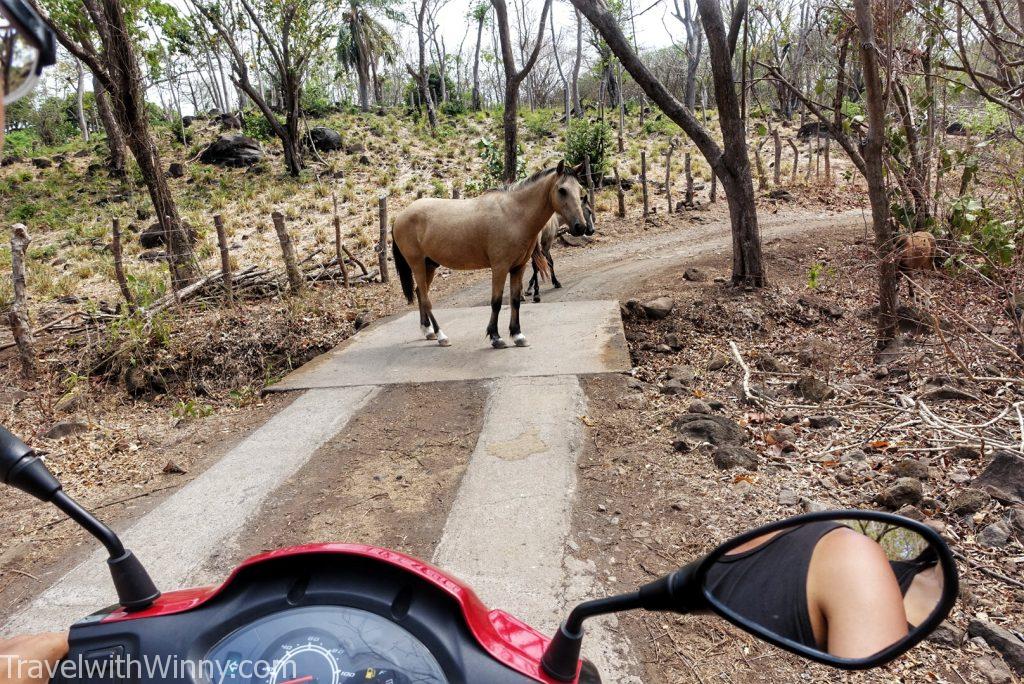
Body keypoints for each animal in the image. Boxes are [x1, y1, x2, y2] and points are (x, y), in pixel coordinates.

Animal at [389, 161, 589, 348]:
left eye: (580, 190)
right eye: (562, 190)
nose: (581, 227)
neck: (513, 215)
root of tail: (400, 216)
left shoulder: (518, 267)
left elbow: (515, 300)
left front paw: (517, 335)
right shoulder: (499, 268)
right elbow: (497, 302)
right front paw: (496, 337)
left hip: (429, 265)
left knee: (420, 293)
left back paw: (428, 330)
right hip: (417, 265)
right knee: (425, 298)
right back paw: (441, 336)